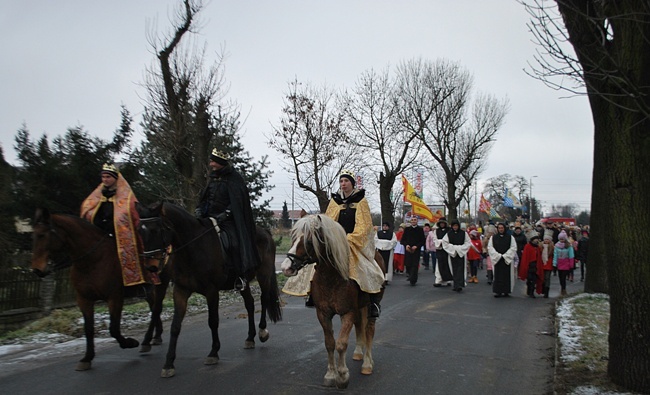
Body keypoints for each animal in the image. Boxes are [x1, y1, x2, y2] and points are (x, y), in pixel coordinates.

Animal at [31, 209, 166, 372]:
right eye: (33, 235)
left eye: (42, 235)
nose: (37, 270)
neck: (92, 261)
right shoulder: (84, 299)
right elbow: (88, 329)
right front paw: (87, 358)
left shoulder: (114, 297)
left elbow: (114, 328)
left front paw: (130, 342)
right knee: (155, 309)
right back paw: (156, 337)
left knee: (156, 310)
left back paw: (149, 340)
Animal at [135, 203, 280, 378]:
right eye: (139, 231)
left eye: (156, 230)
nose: (150, 267)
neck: (192, 248)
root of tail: (265, 231)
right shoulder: (181, 290)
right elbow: (175, 325)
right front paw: (168, 363)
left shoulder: (211, 291)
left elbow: (213, 321)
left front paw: (213, 353)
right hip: (242, 282)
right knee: (250, 304)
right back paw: (250, 338)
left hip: (264, 275)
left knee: (264, 299)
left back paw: (262, 332)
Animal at [280, 213, 382, 390]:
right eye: (293, 238)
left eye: (308, 241)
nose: (286, 267)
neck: (331, 277)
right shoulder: (323, 313)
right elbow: (330, 343)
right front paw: (330, 375)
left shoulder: (347, 313)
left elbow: (341, 343)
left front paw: (342, 376)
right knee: (360, 326)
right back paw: (358, 353)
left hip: (371, 304)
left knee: (369, 329)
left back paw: (367, 364)